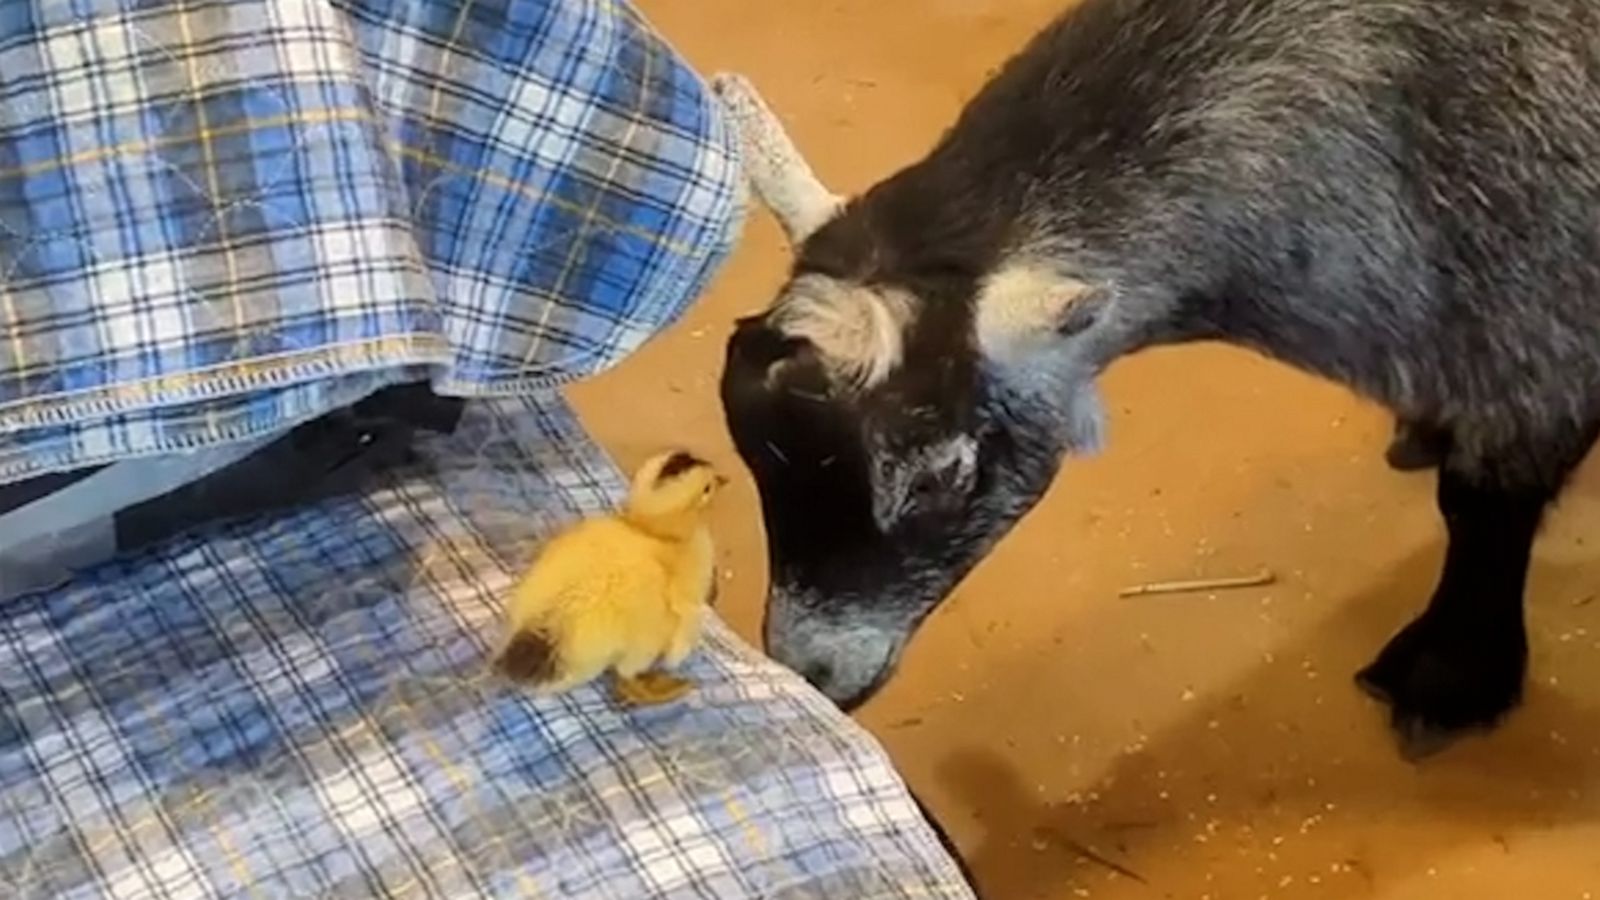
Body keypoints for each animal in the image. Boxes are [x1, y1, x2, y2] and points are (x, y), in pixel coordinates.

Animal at [720, 0, 1600, 755]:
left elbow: (1481, 511)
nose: (813, 670)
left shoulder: (1539, 347)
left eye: (940, 476)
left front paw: (1453, 674)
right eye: (751, 449)